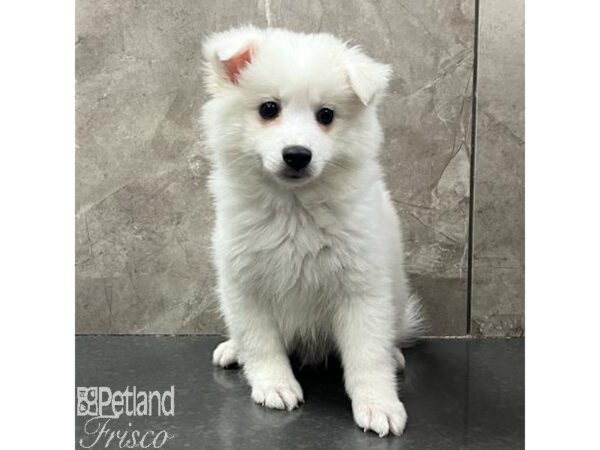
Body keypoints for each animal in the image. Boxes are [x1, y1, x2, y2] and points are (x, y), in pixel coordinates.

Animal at [202, 25, 422, 436]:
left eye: (326, 115)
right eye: (268, 109)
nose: (297, 155)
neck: (294, 209)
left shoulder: (361, 288)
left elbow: (367, 355)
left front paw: (379, 405)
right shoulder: (244, 282)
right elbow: (261, 341)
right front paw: (275, 385)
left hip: (396, 301)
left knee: (389, 337)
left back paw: (395, 353)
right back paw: (232, 348)